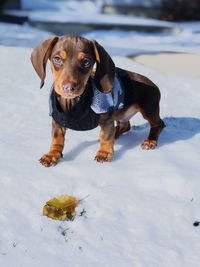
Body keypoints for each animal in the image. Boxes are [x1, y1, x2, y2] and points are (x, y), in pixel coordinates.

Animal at [31, 34, 165, 166]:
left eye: (86, 61)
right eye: (57, 58)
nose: (68, 87)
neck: (74, 102)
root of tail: (152, 83)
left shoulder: (106, 116)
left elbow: (106, 135)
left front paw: (104, 153)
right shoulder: (58, 120)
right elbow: (57, 138)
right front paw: (52, 154)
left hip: (149, 109)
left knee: (158, 124)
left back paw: (150, 141)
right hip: (120, 112)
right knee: (125, 125)